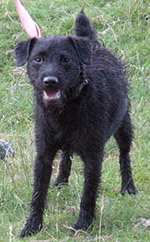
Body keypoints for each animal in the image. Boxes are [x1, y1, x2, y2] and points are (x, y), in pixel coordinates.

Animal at [14, 10, 137, 236]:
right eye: (37, 59)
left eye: (66, 59)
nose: (50, 81)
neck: (66, 109)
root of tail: (92, 44)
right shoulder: (43, 154)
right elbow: (38, 193)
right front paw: (32, 225)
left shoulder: (93, 155)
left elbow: (89, 192)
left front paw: (83, 223)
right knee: (66, 156)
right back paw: (61, 180)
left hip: (124, 127)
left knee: (124, 156)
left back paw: (128, 187)